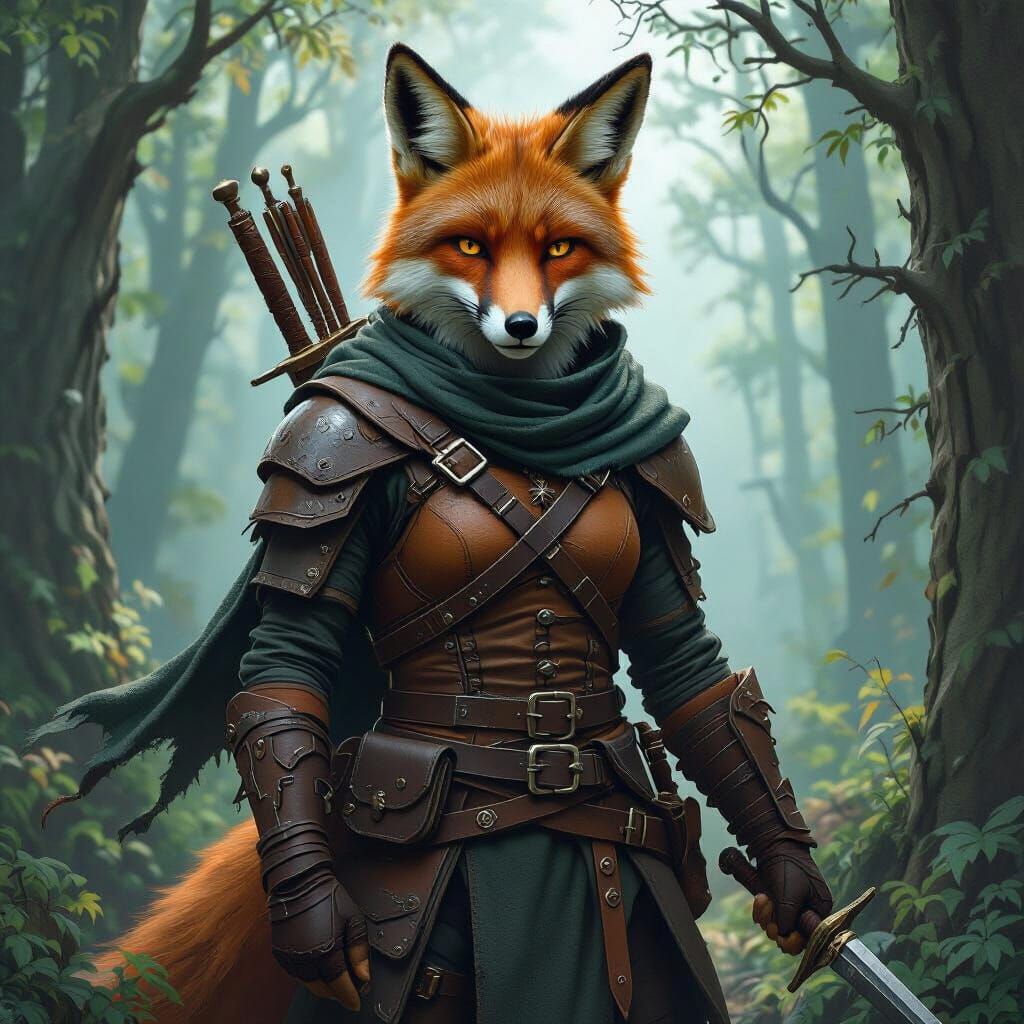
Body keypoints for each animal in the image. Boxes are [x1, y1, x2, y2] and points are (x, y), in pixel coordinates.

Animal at [95, 44, 654, 1023]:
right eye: (469, 244)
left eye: (560, 248)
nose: (520, 325)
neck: (521, 409)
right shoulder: (324, 457)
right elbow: (282, 674)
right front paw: (319, 931)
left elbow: (695, 669)